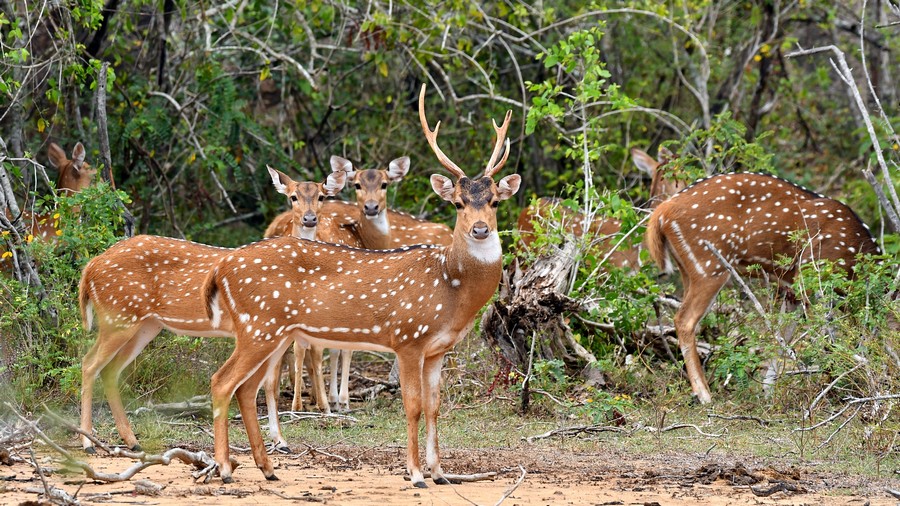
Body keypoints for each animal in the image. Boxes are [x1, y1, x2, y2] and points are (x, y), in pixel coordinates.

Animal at [77, 168, 346, 452]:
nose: (310, 218)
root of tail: (90, 268)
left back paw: (131, 440)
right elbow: (269, 383)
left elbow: (270, 383)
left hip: (145, 324)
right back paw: (87, 441)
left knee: (110, 370)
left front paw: (280, 440)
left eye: (322, 196)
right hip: (118, 315)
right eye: (293, 196)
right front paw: (279, 439)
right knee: (89, 363)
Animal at [266, 156, 450, 414]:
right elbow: (340, 348)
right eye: (357, 185)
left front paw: (328, 398)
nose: (371, 208)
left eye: (384, 184)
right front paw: (338, 400)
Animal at [648, 173, 880, 404]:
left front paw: (768, 391)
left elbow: (783, 334)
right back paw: (704, 394)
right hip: (709, 266)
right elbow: (823, 336)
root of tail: (663, 211)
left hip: (689, 270)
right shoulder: (810, 273)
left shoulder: (791, 288)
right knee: (684, 320)